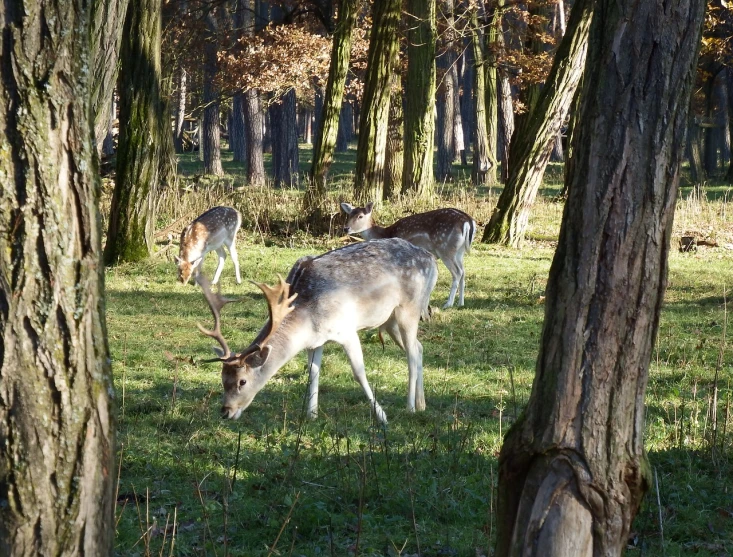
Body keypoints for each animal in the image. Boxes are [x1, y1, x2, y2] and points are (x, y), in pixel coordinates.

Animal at [194, 237, 438, 424]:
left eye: (242, 381)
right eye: (222, 378)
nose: (225, 412)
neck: (308, 319)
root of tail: (431, 260)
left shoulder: (346, 330)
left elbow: (359, 373)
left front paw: (382, 416)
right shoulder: (316, 341)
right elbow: (313, 373)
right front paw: (311, 415)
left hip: (410, 308)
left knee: (411, 353)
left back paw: (410, 406)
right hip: (388, 320)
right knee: (419, 347)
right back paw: (422, 404)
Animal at [342, 203, 478, 308]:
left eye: (360, 216)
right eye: (349, 215)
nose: (346, 228)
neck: (385, 233)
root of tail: (468, 221)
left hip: (445, 248)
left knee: (457, 272)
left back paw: (448, 304)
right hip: (459, 251)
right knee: (463, 271)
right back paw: (461, 303)